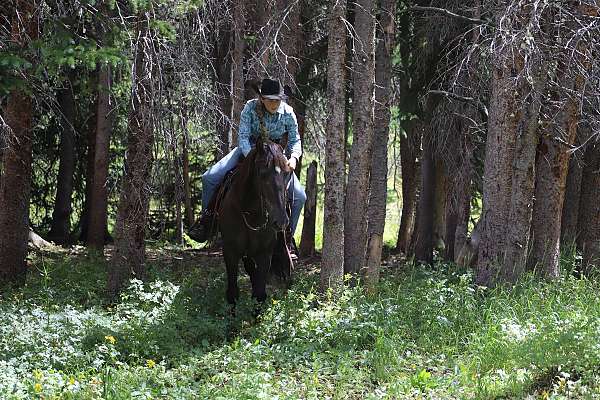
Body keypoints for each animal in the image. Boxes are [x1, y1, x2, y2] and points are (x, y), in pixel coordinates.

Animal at [217, 136, 292, 304]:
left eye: (287, 174)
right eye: (263, 173)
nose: (281, 222)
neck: (250, 212)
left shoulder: (265, 253)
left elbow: (259, 294)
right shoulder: (230, 252)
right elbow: (232, 293)